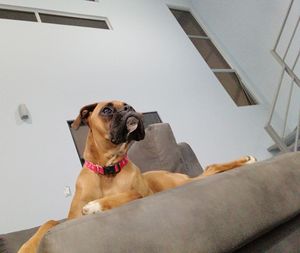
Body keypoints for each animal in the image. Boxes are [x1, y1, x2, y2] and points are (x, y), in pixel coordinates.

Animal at [18, 100, 255, 252]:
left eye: (126, 105)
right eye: (106, 110)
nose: (129, 109)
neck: (107, 170)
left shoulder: (140, 195)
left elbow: (131, 194)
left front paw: (97, 206)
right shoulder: (71, 218)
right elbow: (49, 222)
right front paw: (27, 247)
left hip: (181, 184)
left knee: (212, 169)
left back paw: (247, 160)